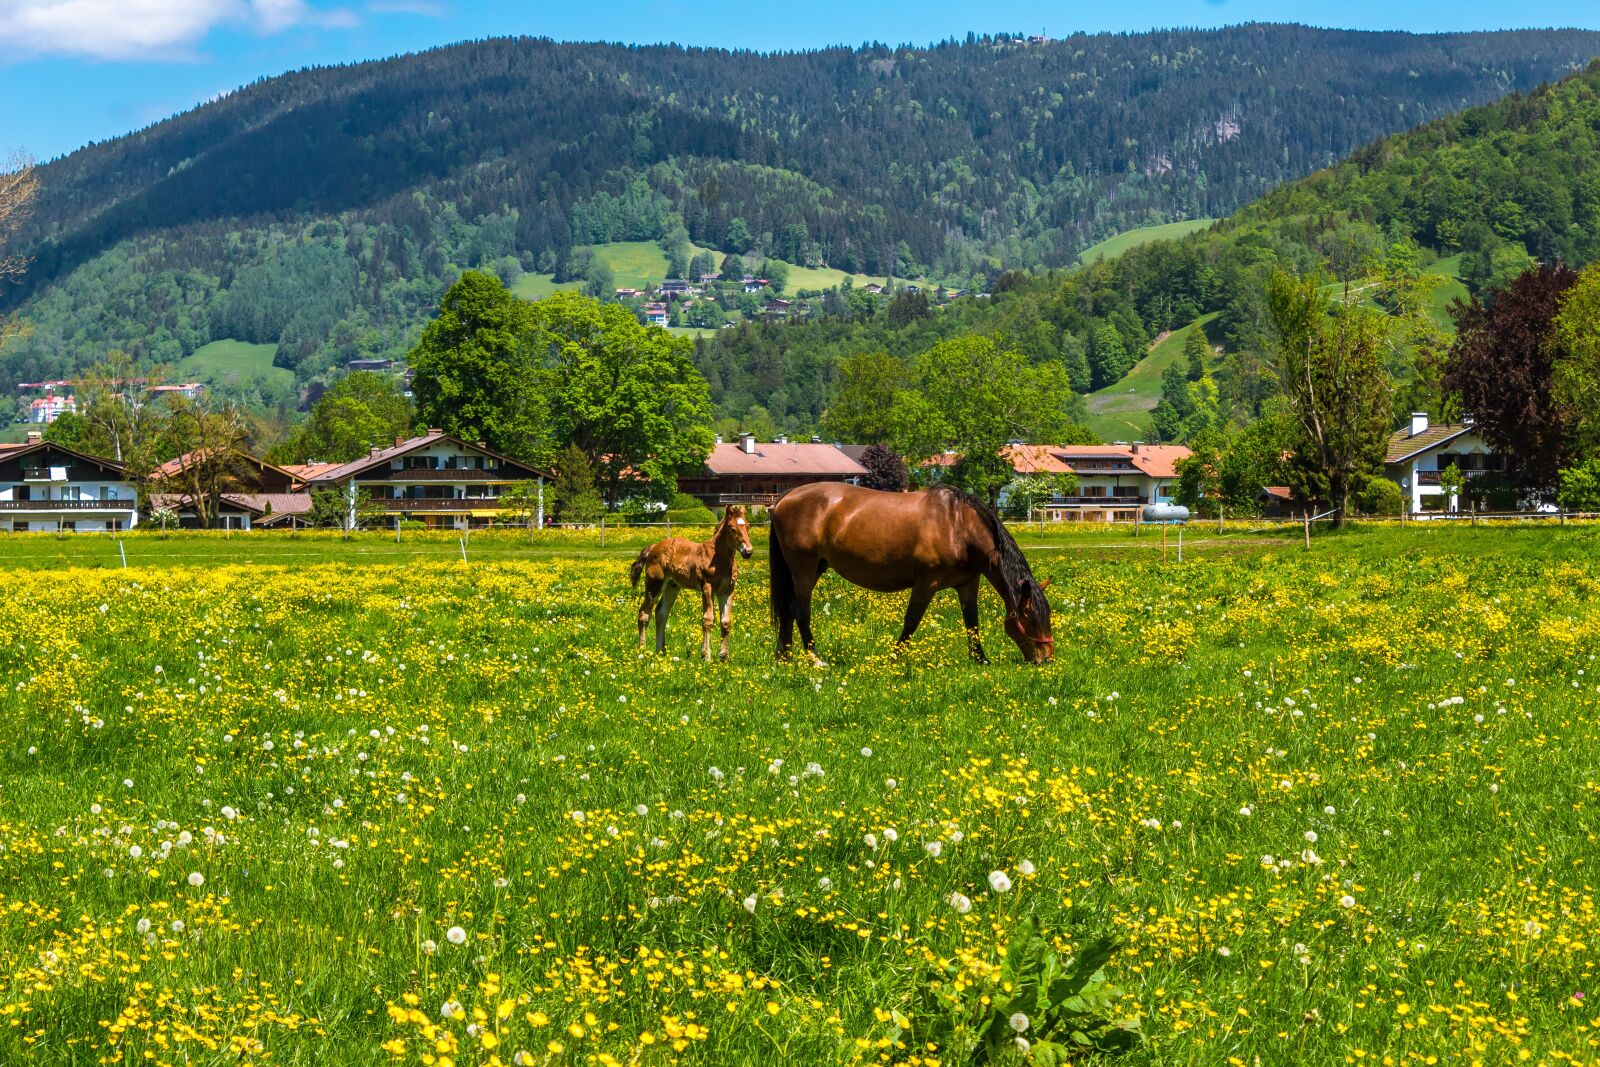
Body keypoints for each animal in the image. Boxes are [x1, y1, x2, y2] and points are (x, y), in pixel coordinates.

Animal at [629, 505, 756, 661]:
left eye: (748, 527)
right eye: (732, 529)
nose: (748, 551)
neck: (719, 558)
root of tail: (653, 547)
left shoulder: (728, 590)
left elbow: (726, 622)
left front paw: (724, 657)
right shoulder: (708, 587)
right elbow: (708, 619)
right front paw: (706, 656)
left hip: (672, 586)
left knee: (661, 613)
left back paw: (661, 651)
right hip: (654, 584)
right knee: (644, 614)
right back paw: (642, 652)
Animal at [768, 483, 1053, 664]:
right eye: (1029, 616)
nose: (1046, 658)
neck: (959, 525)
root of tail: (785, 498)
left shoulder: (968, 584)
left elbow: (972, 622)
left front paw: (980, 659)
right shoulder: (926, 583)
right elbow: (912, 621)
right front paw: (895, 658)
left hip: (814, 568)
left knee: (789, 609)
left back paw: (785, 656)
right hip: (804, 570)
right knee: (801, 611)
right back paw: (816, 658)